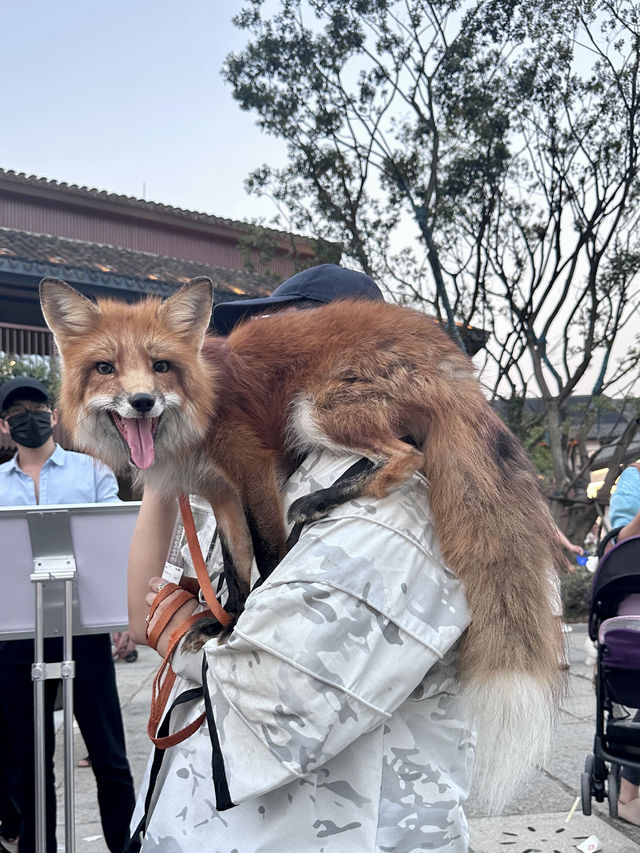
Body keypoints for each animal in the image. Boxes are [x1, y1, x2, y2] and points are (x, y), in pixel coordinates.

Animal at [40, 274, 564, 812]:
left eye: (161, 366)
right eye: (105, 368)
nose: (142, 401)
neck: (199, 406)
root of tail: (447, 350)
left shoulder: (251, 469)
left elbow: (266, 556)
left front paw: (243, 624)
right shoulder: (220, 492)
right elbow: (236, 565)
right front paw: (224, 618)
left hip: (314, 409)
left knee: (405, 458)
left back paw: (320, 500)